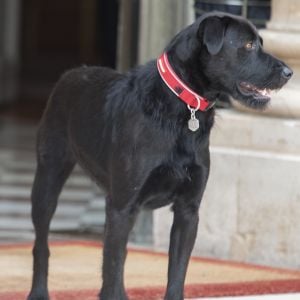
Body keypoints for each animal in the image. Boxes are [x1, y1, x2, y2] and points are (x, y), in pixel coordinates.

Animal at [27, 12, 290, 300]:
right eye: (248, 45)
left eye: (260, 42)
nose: (290, 72)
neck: (184, 106)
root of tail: (71, 73)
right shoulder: (123, 206)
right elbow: (114, 266)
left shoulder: (188, 210)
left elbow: (176, 271)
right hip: (48, 178)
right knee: (43, 243)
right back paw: (38, 291)